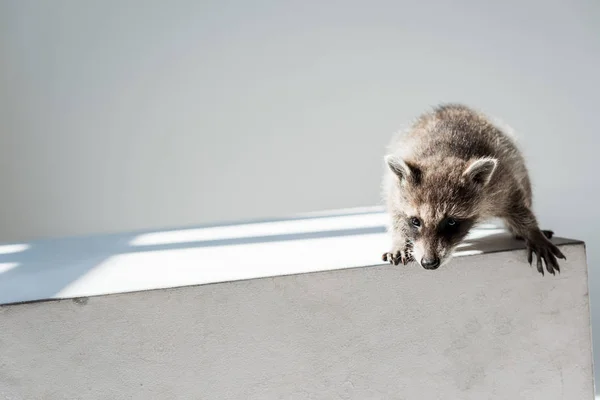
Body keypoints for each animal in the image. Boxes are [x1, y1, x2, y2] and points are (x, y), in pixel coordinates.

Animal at [382, 104, 564, 276]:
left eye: (451, 222)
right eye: (415, 221)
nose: (429, 263)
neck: (443, 154)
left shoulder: (500, 182)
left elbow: (517, 206)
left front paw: (533, 232)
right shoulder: (395, 190)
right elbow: (396, 214)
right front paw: (399, 240)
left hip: (516, 161)